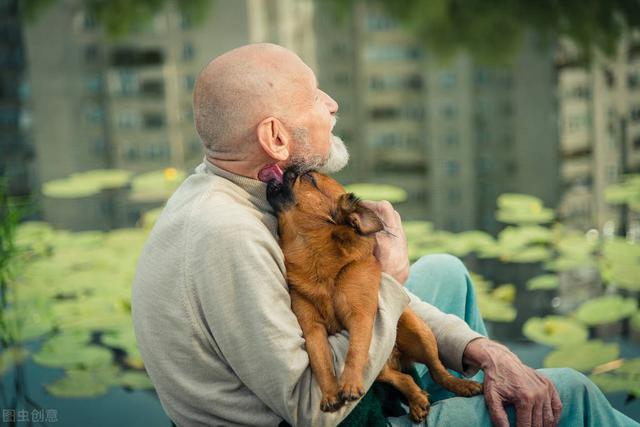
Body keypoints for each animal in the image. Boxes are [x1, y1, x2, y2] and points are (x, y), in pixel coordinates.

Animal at [264, 167, 480, 422]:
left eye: (308, 178)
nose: (289, 168)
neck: (311, 251)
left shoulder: (361, 317)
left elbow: (354, 351)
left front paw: (348, 384)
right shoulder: (312, 329)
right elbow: (321, 363)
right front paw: (330, 394)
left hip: (418, 331)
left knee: (437, 371)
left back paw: (460, 385)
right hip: (379, 369)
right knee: (403, 377)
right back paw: (417, 400)